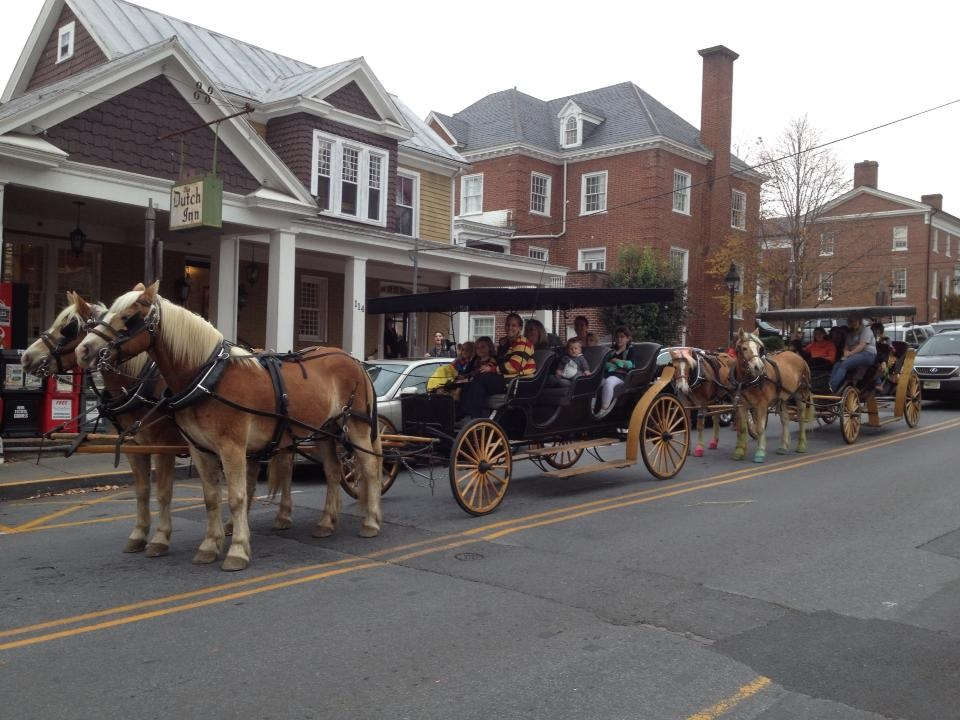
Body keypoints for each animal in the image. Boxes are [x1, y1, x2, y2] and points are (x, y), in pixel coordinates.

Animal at [21, 292, 292, 556]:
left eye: (68, 328)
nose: (25, 357)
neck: (141, 385)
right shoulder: (134, 446)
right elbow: (142, 491)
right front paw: (139, 534)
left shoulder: (163, 446)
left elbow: (163, 492)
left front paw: (160, 538)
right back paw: (239, 524)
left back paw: (280, 516)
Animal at [75, 278, 382, 572]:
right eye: (95, 320)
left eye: (128, 317)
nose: (84, 350)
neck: (206, 377)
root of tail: (354, 361)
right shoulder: (199, 449)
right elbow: (211, 497)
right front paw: (210, 546)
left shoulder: (229, 447)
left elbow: (235, 497)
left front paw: (237, 551)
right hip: (325, 432)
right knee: (332, 473)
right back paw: (326, 522)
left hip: (356, 427)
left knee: (369, 468)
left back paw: (370, 521)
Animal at [728, 330, 808, 464]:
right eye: (744, 348)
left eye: (759, 348)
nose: (758, 367)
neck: (747, 381)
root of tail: (797, 356)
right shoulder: (742, 405)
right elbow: (743, 428)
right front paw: (738, 453)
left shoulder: (761, 405)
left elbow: (760, 428)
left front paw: (760, 453)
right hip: (783, 399)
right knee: (785, 419)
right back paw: (783, 447)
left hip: (800, 394)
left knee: (801, 419)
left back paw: (801, 446)